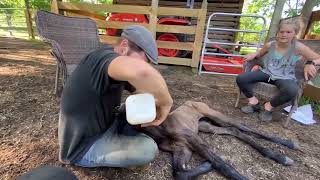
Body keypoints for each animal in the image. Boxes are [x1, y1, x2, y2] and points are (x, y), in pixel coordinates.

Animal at [141, 100, 298, 179]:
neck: (161, 130)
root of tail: (192, 101)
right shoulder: (182, 148)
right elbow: (179, 173)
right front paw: (208, 165)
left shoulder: (193, 140)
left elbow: (221, 164)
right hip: (206, 126)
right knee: (235, 131)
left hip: (217, 116)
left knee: (245, 128)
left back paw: (287, 147)